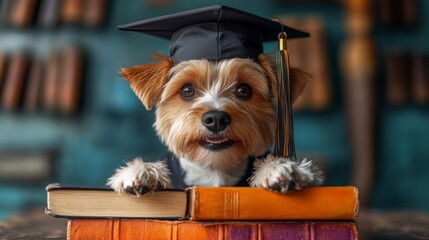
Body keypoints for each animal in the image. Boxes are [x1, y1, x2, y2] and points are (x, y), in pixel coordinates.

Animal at [106, 53, 320, 196]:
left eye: (244, 90)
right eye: (187, 90)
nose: (216, 119)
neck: (214, 170)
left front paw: (278, 168)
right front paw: (142, 171)